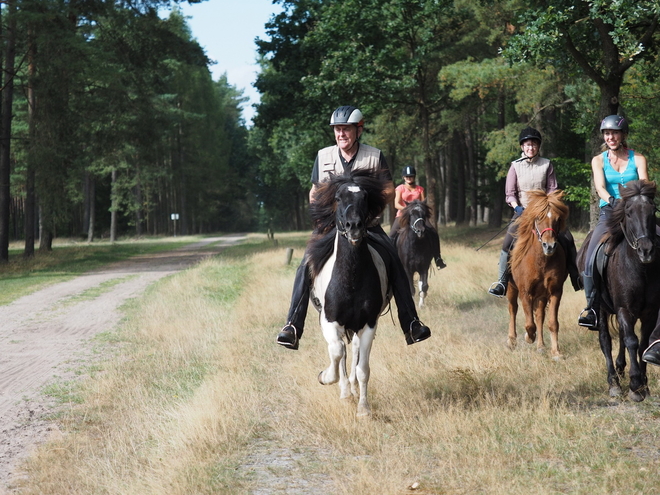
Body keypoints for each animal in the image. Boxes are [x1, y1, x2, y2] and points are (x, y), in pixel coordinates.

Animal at [306, 170, 392, 418]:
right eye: (337, 198)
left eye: (365, 197)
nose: (354, 226)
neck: (351, 280)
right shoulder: (329, 320)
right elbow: (336, 352)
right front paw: (327, 377)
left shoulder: (369, 324)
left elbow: (363, 368)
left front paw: (363, 409)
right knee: (342, 351)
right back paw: (345, 391)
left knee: (353, 350)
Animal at [508, 188, 568, 358]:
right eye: (538, 218)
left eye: (557, 219)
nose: (550, 246)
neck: (541, 261)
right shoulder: (525, 292)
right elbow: (529, 324)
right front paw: (528, 337)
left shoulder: (555, 292)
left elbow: (552, 323)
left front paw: (556, 352)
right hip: (511, 288)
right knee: (513, 309)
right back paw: (511, 341)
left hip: (541, 295)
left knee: (540, 316)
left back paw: (541, 346)